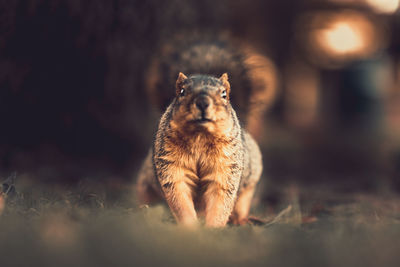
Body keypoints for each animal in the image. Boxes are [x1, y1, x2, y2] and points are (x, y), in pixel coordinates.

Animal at [137, 72, 262, 227]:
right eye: (182, 92)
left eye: (224, 94)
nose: (202, 102)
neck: (200, 135)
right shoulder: (171, 164)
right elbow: (180, 197)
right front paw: (190, 226)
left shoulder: (227, 166)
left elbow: (220, 200)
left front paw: (213, 228)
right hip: (146, 183)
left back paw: (240, 220)